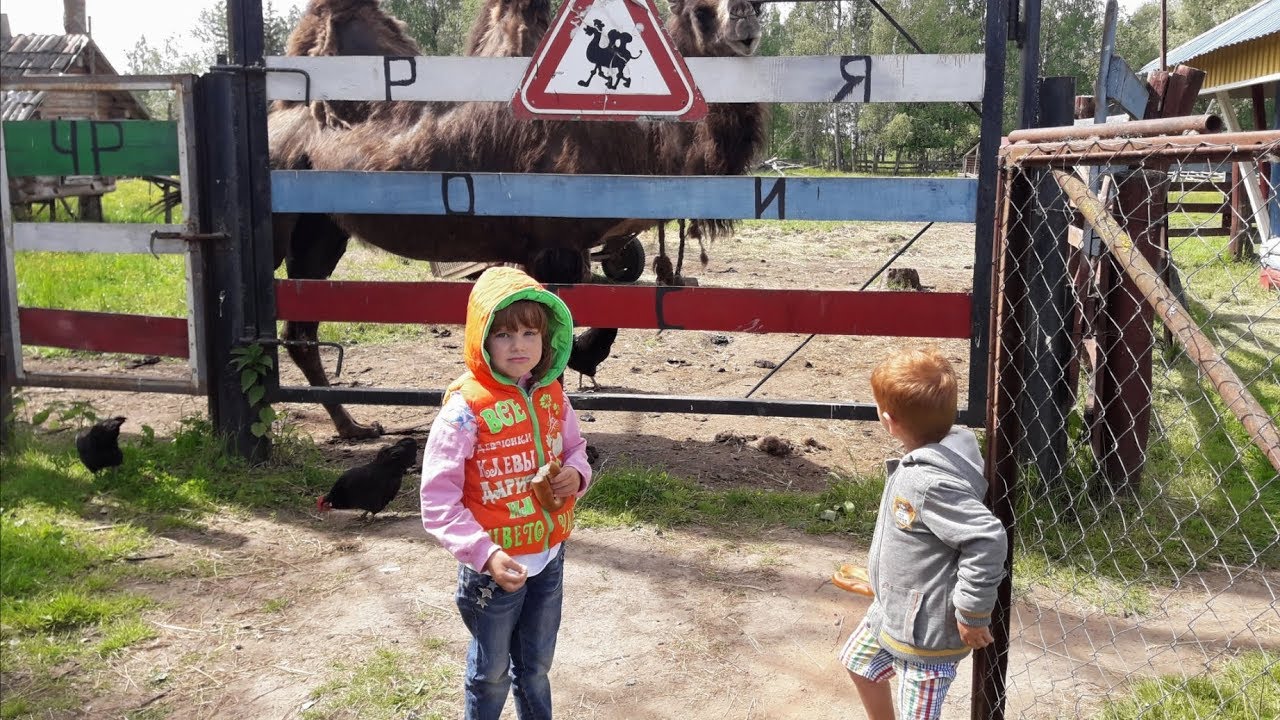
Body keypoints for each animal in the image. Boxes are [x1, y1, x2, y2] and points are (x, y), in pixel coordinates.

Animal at [273, 0, 762, 438]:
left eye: (759, 5)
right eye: (701, 12)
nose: (745, 17)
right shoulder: (557, 248)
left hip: (321, 228)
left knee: (300, 328)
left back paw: (354, 427)